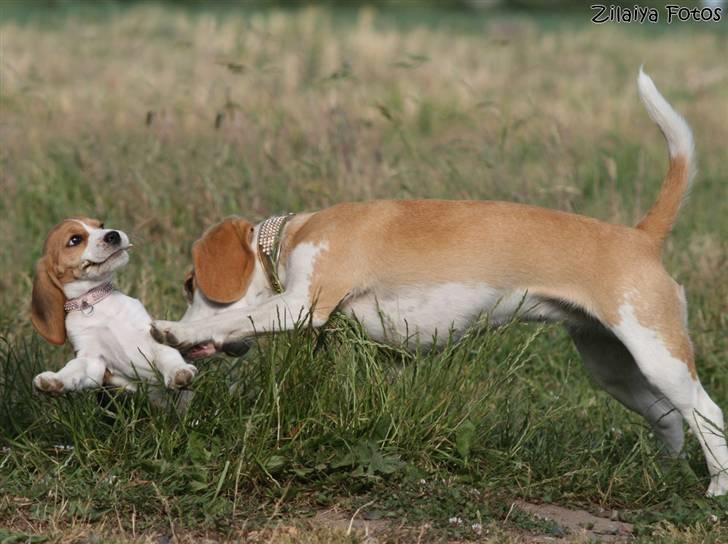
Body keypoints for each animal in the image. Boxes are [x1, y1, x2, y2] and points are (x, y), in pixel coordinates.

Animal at [30, 218, 196, 396]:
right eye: (75, 240)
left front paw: (179, 372)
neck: (95, 303)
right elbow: (75, 367)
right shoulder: (93, 360)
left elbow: (168, 354)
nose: (113, 235)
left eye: (101, 225)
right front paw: (55, 380)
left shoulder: (150, 335)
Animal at [152, 70, 728, 496]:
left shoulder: (301, 304)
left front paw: (174, 331)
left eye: (189, 283)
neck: (294, 235)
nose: (183, 315)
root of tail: (641, 237)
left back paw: (715, 491)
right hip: (613, 365)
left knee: (709, 414)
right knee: (669, 418)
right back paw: (663, 476)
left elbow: (236, 315)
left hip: (658, 354)